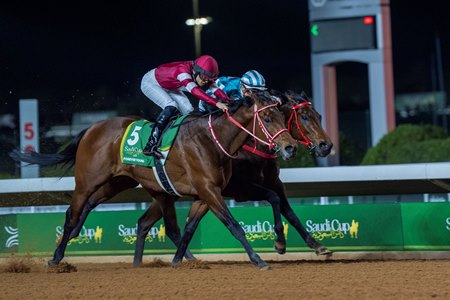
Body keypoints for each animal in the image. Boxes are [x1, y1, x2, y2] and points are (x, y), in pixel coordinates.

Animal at [9, 92, 296, 270]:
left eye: (283, 117)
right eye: (267, 118)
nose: (290, 147)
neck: (212, 141)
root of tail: (92, 128)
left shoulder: (206, 194)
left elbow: (188, 229)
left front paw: (178, 261)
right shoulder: (211, 190)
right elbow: (234, 226)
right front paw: (259, 260)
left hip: (121, 183)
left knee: (116, 213)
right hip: (87, 181)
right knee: (73, 212)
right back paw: (57, 258)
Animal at [132, 89, 332, 268]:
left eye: (319, 115)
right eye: (304, 117)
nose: (326, 146)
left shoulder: (274, 182)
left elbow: (289, 212)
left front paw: (318, 246)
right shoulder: (239, 189)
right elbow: (273, 199)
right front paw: (280, 243)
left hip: (169, 192)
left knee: (145, 223)